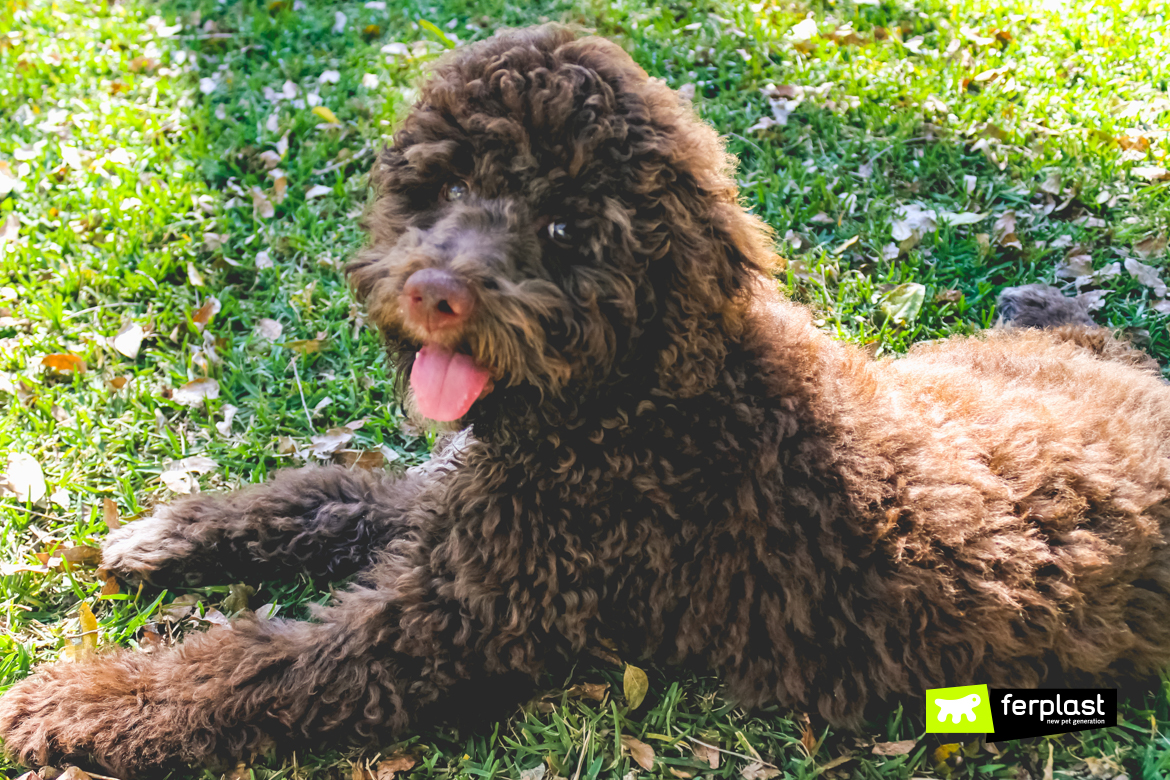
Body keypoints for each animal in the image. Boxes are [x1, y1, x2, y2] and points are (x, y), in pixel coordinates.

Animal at [2, 22, 1170, 776]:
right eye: (442, 187)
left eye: (566, 224)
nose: (435, 292)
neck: (637, 399)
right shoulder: (456, 507)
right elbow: (330, 495)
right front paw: (170, 533)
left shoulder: (445, 626)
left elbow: (250, 669)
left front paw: (76, 700)